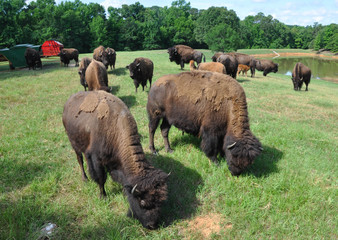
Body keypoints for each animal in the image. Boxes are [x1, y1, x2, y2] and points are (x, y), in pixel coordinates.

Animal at [62, 90, 168, 229]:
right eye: (142, 202)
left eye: (161, 202)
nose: (152, 225)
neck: (114, 128)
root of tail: (68, 102)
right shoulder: (97, 160)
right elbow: (101, 179)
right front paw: (103, 196)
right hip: (74, 144)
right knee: (80, 160)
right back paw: (85, 178)